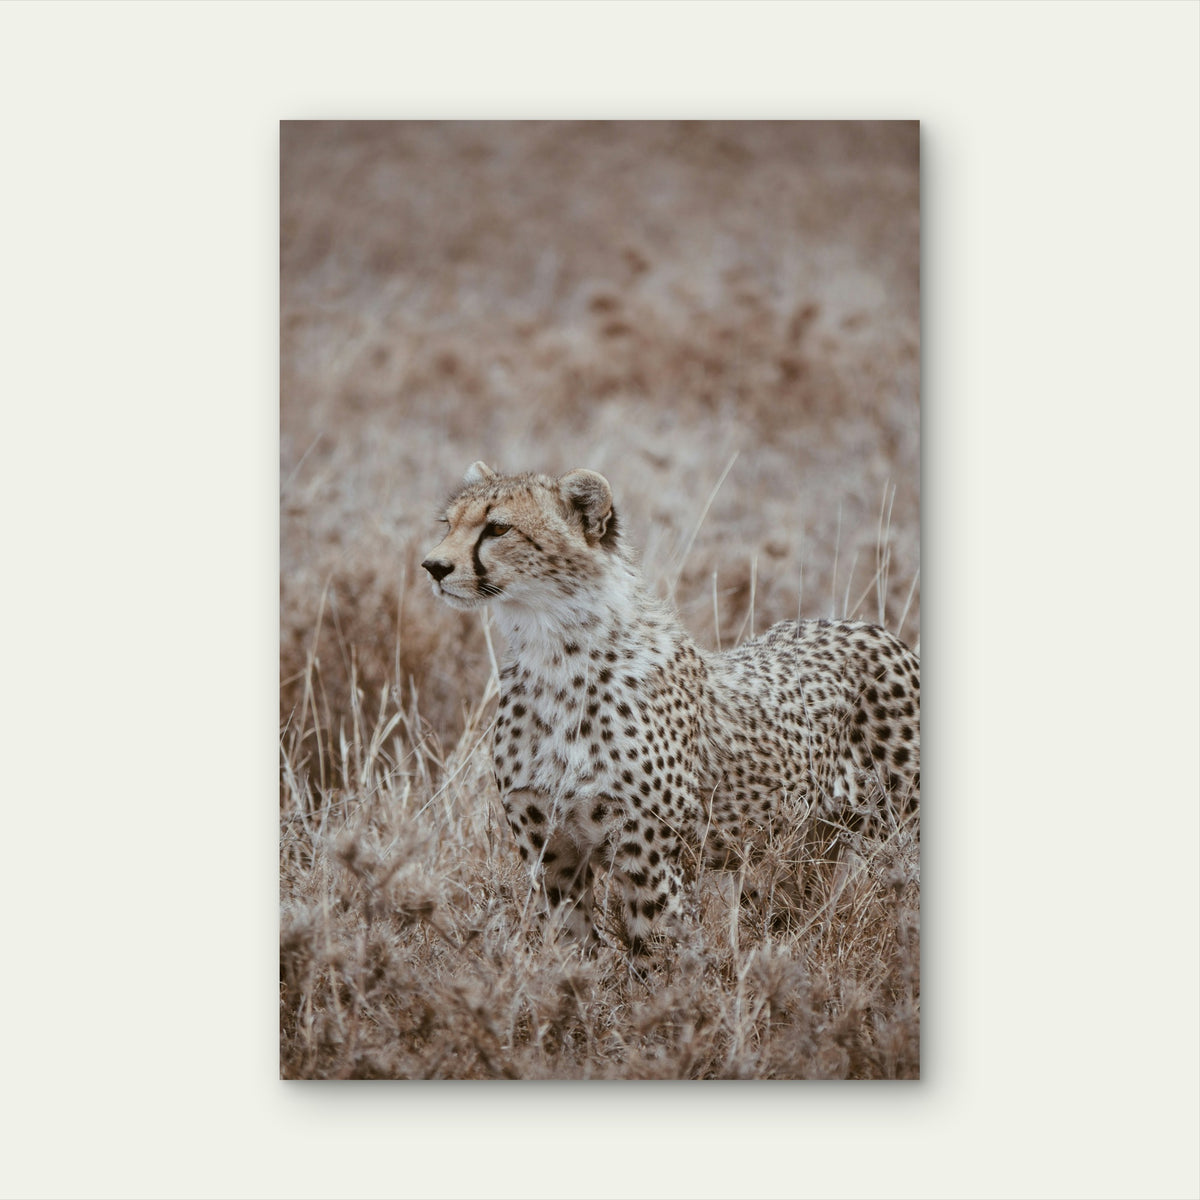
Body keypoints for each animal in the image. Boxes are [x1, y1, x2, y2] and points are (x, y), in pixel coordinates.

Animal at [422, 461, 920, 955]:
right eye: (448, 524)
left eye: (497, 528)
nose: (433, 566)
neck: (553, 653)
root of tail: (872, 628)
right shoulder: (552, 855)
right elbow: (567, 948)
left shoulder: (650, 857)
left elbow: (658, 952)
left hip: (899, 833)